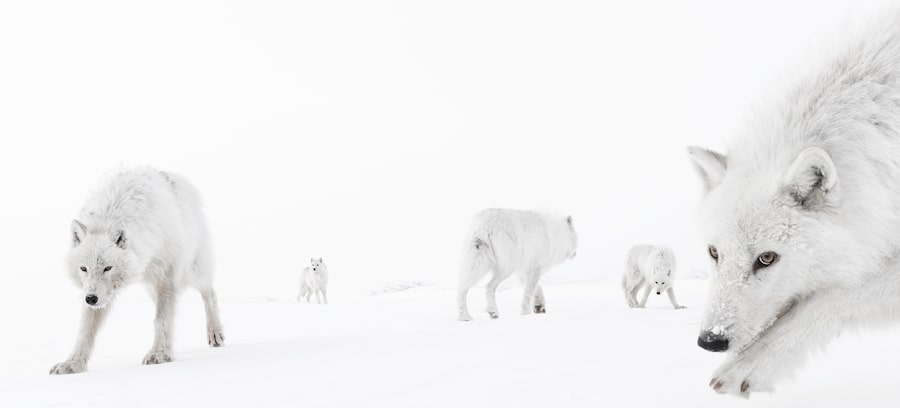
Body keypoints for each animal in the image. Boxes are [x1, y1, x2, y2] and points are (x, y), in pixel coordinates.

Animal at [50, 167, 224, 375]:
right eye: (84, 268)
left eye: (107, 268)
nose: (91, 299)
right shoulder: (96, 293)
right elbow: (85, 330)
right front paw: (72, 364)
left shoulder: (166, 277)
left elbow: (161, 319)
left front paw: (159, 354)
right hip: (151, 287)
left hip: (192, 270)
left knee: (209, 292)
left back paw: (215, 332)